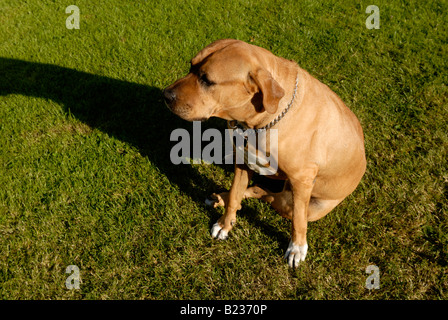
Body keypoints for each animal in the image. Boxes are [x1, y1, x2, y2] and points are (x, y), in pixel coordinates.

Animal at [163, 39, 366, 268]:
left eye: (207, 80)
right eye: (190, 66)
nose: (165, 95)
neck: (258, 122)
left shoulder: (301, 181)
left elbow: (298, 220)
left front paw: (297, 247)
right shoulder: (243, 163)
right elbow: (236, 194)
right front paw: (225, 223)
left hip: (309, 204)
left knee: (271, 197)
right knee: (257, 191)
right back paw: (221, 197)